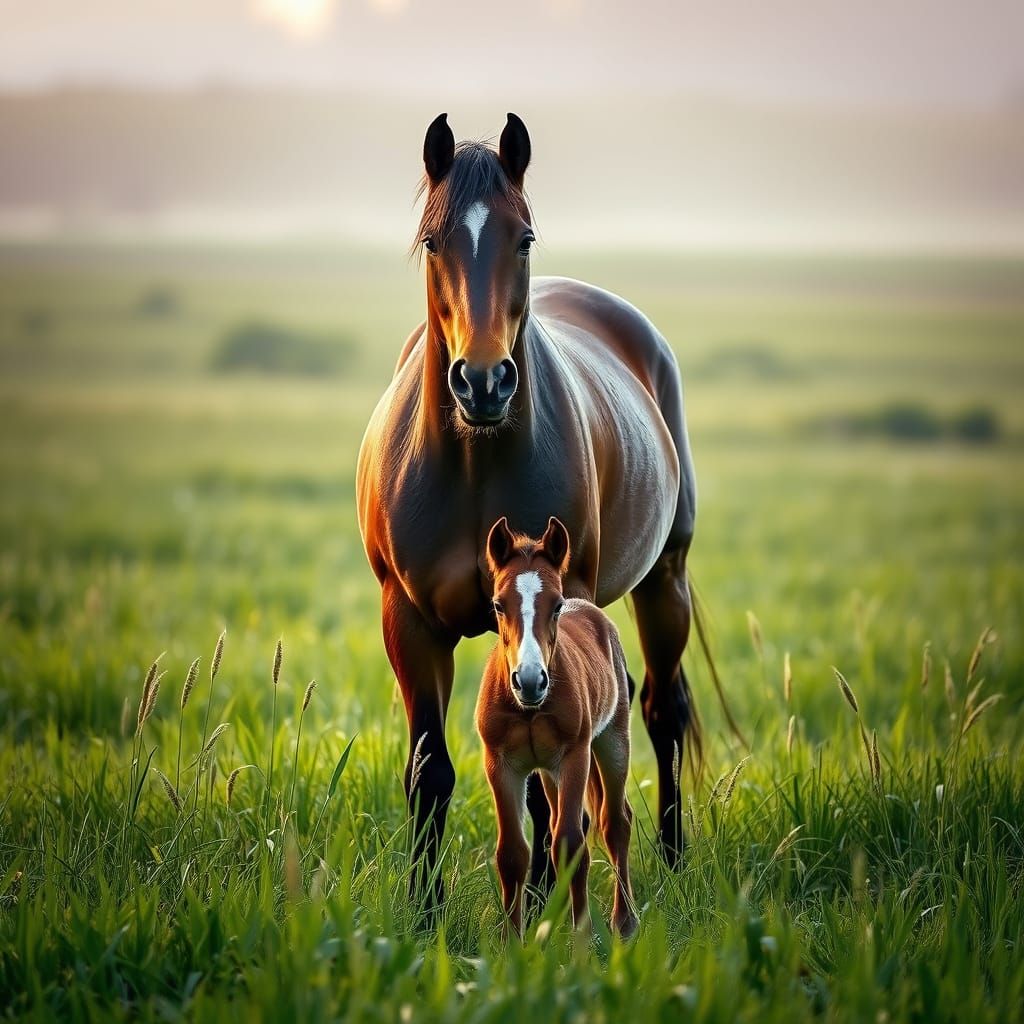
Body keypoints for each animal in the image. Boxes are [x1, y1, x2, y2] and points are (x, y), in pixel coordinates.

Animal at [476, 516, 636, 938]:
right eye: (498, 605)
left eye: (557, 605)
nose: (530, 681)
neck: (529, 709)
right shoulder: (501, 765)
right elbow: (512, 853)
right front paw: (513, 941)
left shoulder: (574, 757)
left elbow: (570, 842)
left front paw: (581, 937)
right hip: (547, 772)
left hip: (613, 742)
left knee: (615, 822)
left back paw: (625, 921)